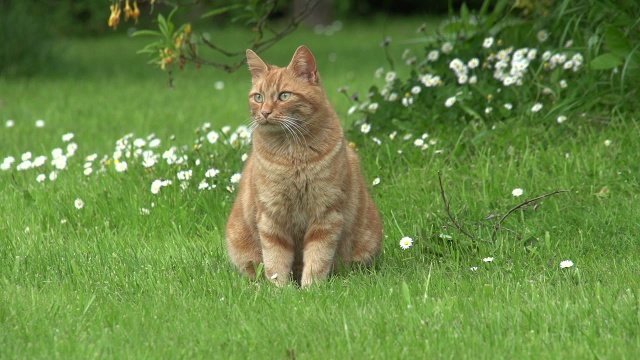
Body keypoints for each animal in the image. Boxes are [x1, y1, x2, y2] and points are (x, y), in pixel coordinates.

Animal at [228, 45, 382, 286]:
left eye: (284, 95)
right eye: (258, 97)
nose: (265, 112)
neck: (293, 155)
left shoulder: (326, 214)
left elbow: (318, 258)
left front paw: (311, 288)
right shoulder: (272, 216)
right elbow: (275, 260)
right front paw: (280, 289)